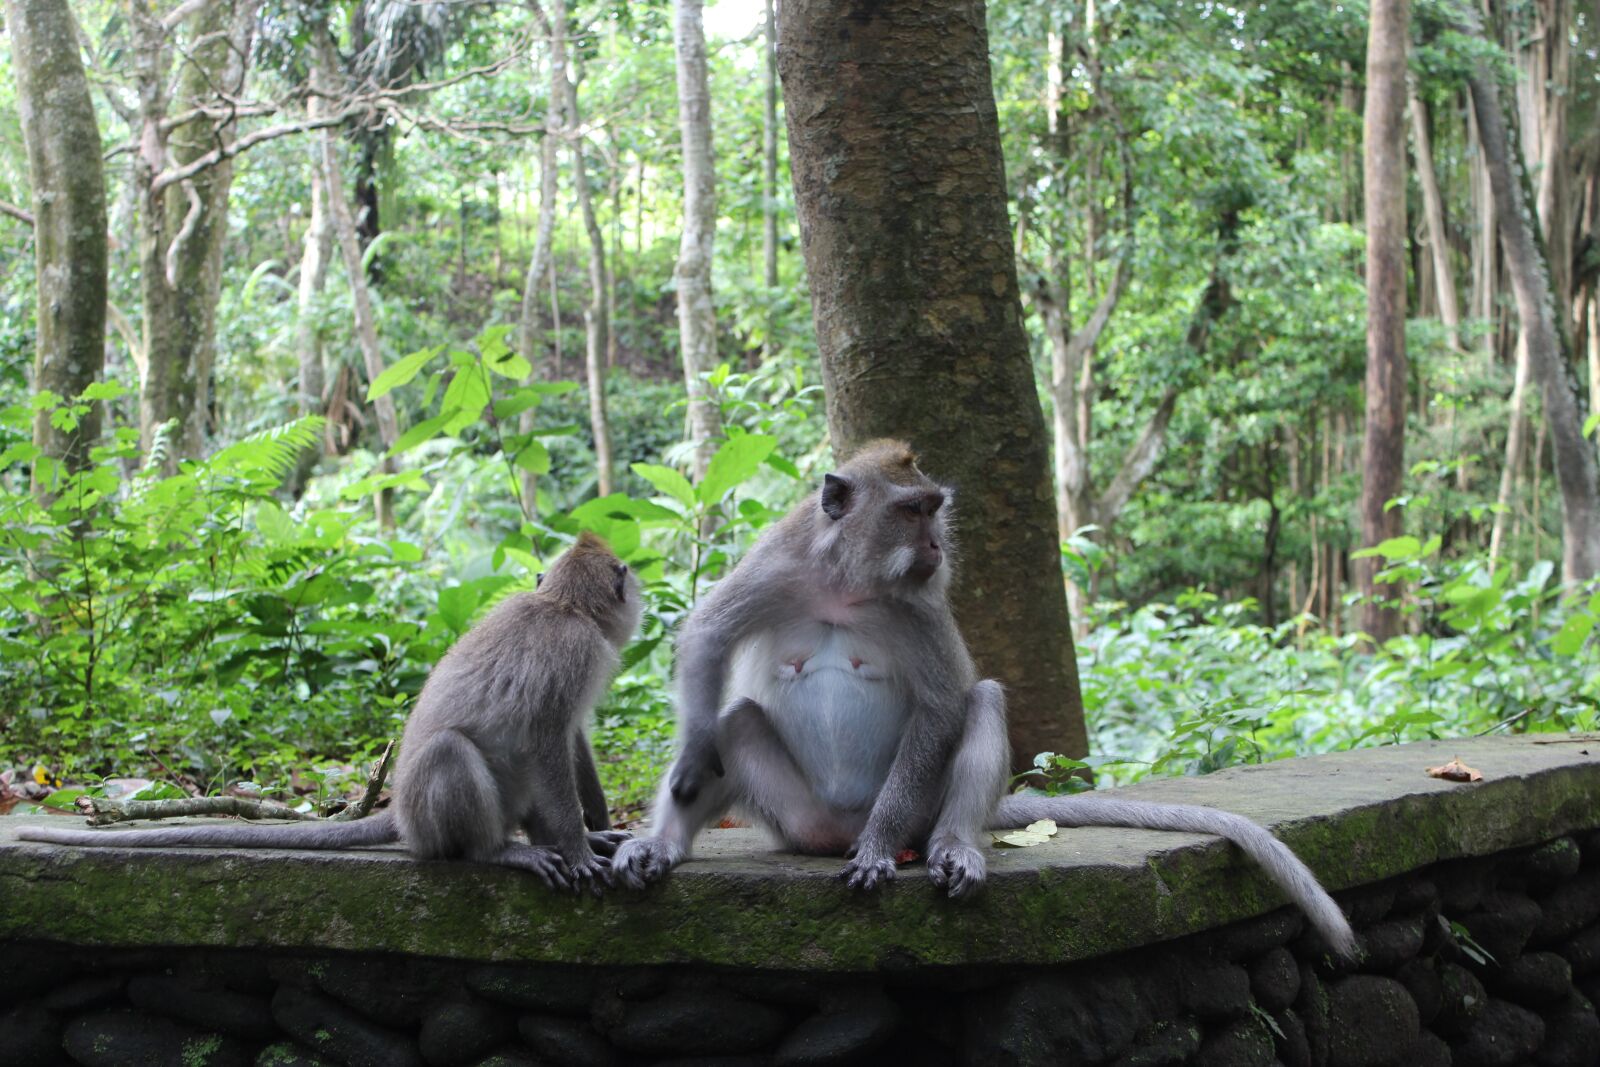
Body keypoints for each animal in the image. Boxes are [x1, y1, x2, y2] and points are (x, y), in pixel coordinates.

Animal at [20, 532, 643, 897]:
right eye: (625, 573)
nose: (636, 583)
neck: (563, 606)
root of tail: (401, 816)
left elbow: (572, 738)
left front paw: (597, 829)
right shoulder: (574, 651)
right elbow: (547, 740)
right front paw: (578, 848)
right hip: (428, 816)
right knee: (450, 752)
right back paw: (499, 852)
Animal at [612, 441, 1356, 956]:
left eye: (934, 509)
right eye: (911, 510)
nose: (937, 545)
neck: (848, 583)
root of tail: (835, 831)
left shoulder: (920, 606)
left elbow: (944, 705)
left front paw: (878, 849)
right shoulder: (777, 563)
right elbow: (707, 635)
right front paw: (686, 766)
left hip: (917, 808)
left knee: (983, 704)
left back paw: (948, 846)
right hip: (796, 819)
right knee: (733, 721)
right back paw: (665, 843)